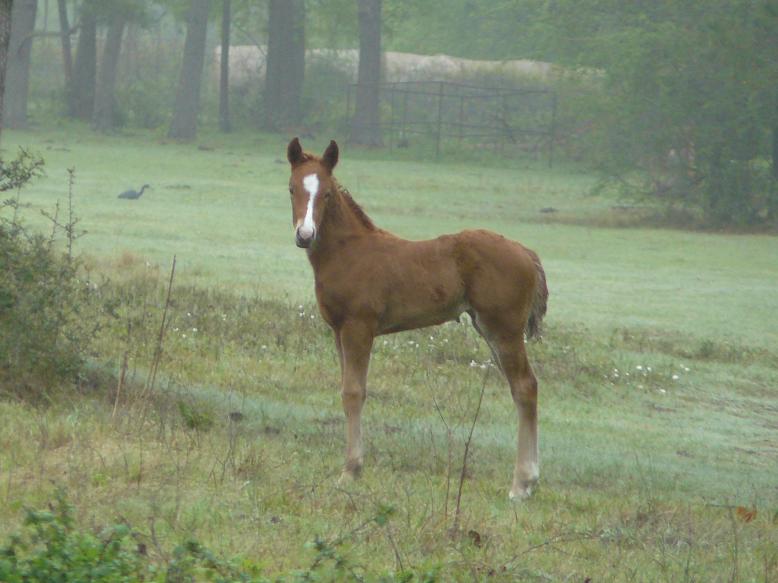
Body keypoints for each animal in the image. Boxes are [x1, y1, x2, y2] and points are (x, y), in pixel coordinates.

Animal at [284, 138, 544, 502]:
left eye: (327, 194)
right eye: (292, 188)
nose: (305, 235)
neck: (349, 252)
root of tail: (527, 253)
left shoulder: (359, 327)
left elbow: (354, 391)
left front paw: (351, 471)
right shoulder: (338, 330)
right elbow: (346, 389)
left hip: (504, 328)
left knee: (525, 386)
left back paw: (521, 484)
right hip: (489, 328)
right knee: (521, 386)